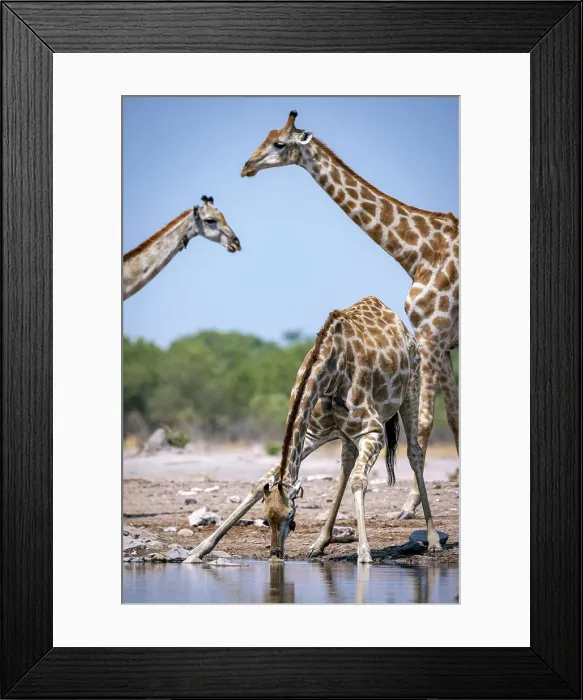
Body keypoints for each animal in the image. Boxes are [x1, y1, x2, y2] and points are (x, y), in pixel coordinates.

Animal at [184, 297, 440, 564]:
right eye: (266, 519)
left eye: (290, 517)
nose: (276, 555)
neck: (330, 370)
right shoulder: (311, 435)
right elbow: (260, 482)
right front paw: (197, 550)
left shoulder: (373, 432)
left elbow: (359, 482)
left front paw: (365, 555)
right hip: (346, 433)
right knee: (346, 463)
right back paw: (319, 544)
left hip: (412, 389)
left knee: (414, 453)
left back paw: (433, 541)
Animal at [241, 110, 459, 519]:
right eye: (265, 136)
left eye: (279, 143)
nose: (247, 165)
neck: (420, 251)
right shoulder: (441, 340)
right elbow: (454, 417)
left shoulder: (432, 334)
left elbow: (427, 422)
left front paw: (409, 507)